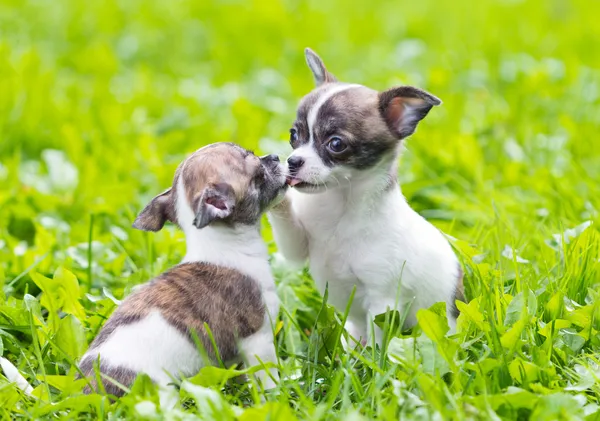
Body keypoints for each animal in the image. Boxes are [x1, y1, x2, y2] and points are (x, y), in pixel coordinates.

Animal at [79, 142, 286, 398]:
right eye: (259, 174)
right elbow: (267, 378)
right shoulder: (260, 340)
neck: (220, 244)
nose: (276, 156)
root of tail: (88, 390)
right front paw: (277, 397)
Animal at [268, 49, 464, 344]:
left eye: (336, 144)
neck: (340, 204)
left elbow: (377, 341)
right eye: (294, 135)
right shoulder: (297, 245)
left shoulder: (382, 299)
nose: (292, 161)